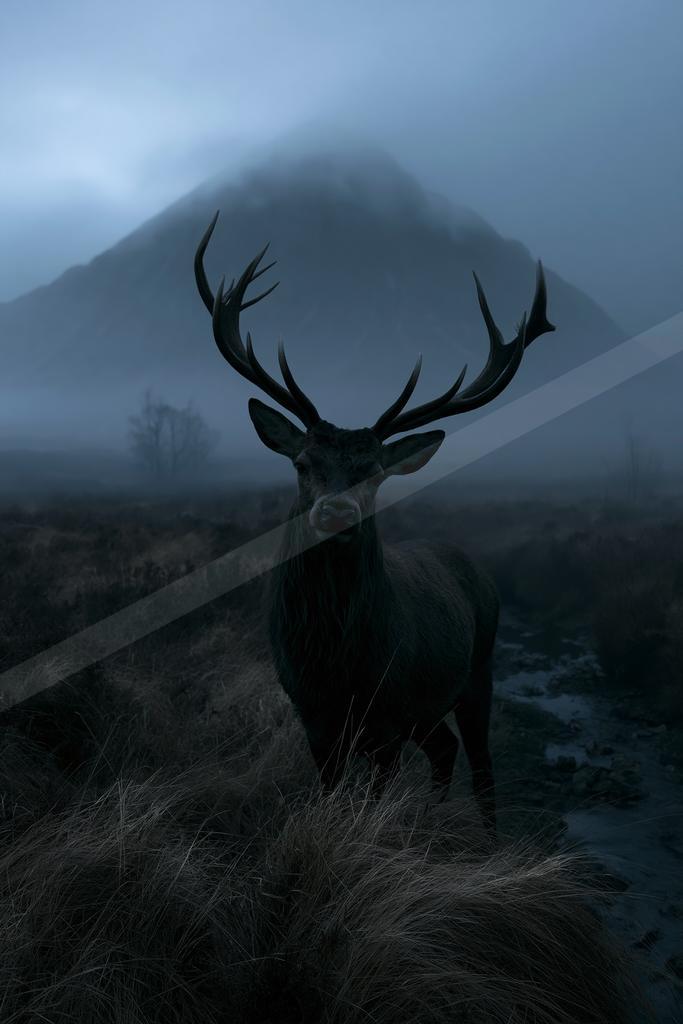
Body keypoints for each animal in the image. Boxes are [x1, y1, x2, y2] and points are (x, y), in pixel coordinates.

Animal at [194, 211, 555, 834]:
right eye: (303, 463)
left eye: (375, 475)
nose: (336, 510)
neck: (338, 666)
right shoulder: (314, 717)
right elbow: (330, 793)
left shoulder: (387, 716)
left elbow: (372, 797)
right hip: (428, 706)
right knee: (444, 748)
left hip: (478, 667)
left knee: (480, 762)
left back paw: (485, 834)